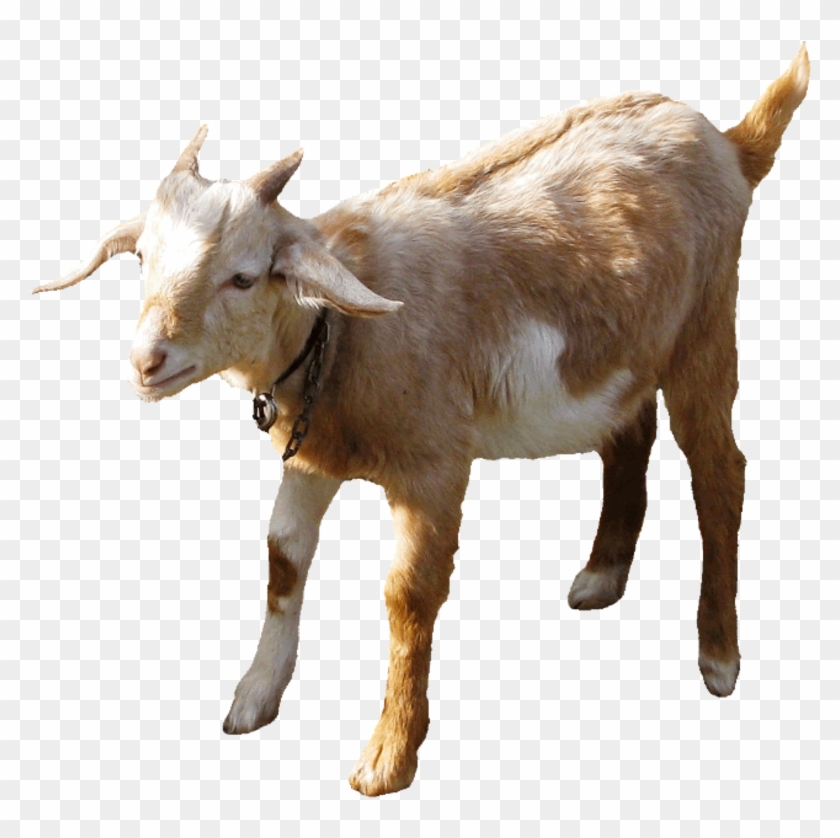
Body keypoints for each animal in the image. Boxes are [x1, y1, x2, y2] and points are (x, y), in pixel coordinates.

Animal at [34, 46, 809, 796]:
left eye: (244, 276)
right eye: (142, 258)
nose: (146, 362)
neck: (339, 330)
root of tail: (730, 143)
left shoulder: (434, 465)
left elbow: (407, 594)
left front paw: (387, 758)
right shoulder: (314, 453)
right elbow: (283, 557)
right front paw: (254, 696)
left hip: (705, 330)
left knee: (721, 472)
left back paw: (718, 654)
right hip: (625, 354)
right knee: (629, 437)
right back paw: (602, 573)